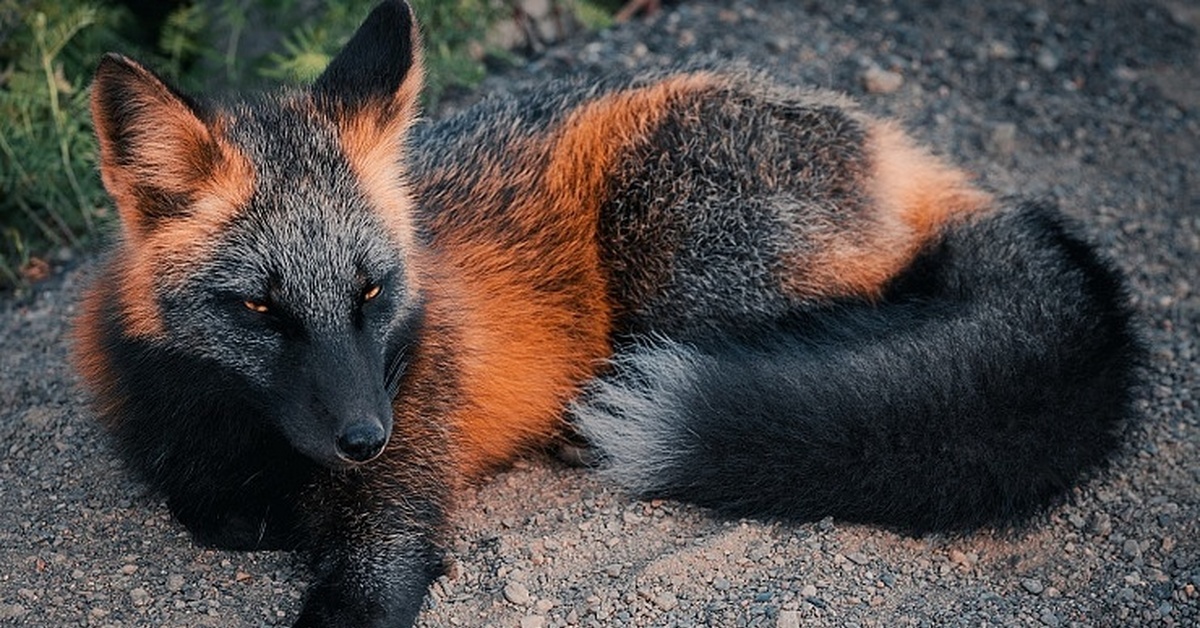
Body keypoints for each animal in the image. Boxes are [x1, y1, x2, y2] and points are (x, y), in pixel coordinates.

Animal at [75, 2, 1142, 624]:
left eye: (371, 292)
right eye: (261, 308)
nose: (365, 438)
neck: (245, 436)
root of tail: (891, 142)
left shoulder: (400, 508)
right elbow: (210, 510)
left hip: (675, 259)